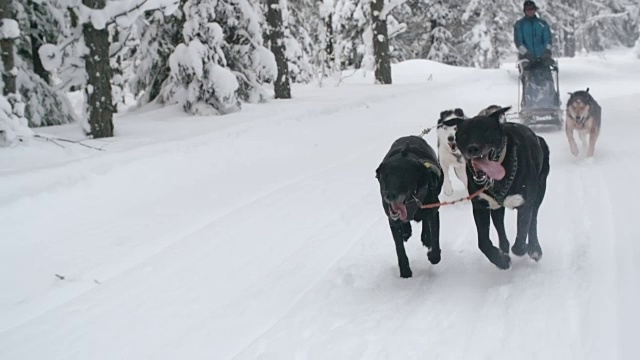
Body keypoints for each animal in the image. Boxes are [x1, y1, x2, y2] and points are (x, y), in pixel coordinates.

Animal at [378, 136, 442, 278]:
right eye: (384, 176)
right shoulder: (393, 220)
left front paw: (433, 255)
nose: (389, 195)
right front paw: (405, 271)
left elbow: (435, 238)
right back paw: (407, 231)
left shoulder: (433, 210)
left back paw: (426, 237)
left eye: (403, 176)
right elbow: (399, 248)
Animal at [456, 107, 552, 270]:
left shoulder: (525, 203)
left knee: (533, 220)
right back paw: (504, 249)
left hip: (539, 192)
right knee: (500, 227)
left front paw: (521, 248)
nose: (473, 148)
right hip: (496, 208)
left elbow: (522, 231)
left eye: (486, 132)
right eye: (464, 134)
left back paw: (534, 248)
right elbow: (483, 242)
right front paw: (500, 260)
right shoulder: (480, 206)